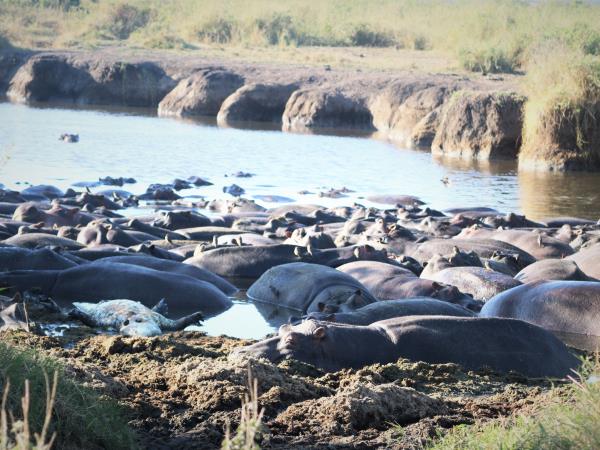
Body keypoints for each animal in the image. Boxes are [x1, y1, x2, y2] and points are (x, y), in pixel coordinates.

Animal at [70, 298, 204, 338]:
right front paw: (75, 313)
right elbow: (93, 321)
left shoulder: (159, 319)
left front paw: (196, 316)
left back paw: (161, 305)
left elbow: (175, 324)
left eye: (139, 321)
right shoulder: (107, 322)